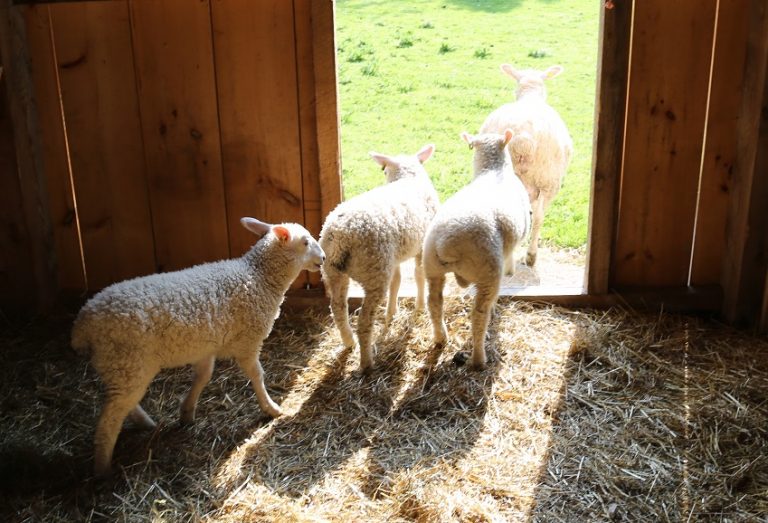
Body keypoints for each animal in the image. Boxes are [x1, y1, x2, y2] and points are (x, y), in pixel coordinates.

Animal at [71, 218, 325, 476]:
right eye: (305, 242)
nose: (323, 258)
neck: (258, 277)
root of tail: (83, 325)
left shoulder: (207, 347)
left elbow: (203, 376)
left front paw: (187, 412)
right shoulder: (248, 341)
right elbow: (257, 375)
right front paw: (271, 408)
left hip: (117, 367)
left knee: (123, 404)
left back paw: (144, 423)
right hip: (127, 362)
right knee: (110, 419)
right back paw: (103, 468)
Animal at [320, 144, 440, 371]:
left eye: (384, 170)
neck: (408, 177)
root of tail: (341, 235)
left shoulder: (393, 258)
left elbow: (397, 281)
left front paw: (392, 312)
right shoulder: (421, 246)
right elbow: (419, 275)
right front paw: (419, 305)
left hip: (334, 271)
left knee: (338, 309)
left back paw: (349, 342)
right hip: (374, 269)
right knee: (365, 321)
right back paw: (367, 361)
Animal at [423, 130, 531, 369]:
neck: (492, 169)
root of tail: (446, 242)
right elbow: (510, 259)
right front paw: (510, 272)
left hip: (432, 267)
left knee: (434, 302)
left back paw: (441, 337)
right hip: (487, 270)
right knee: (479, 314)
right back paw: (479, 358)